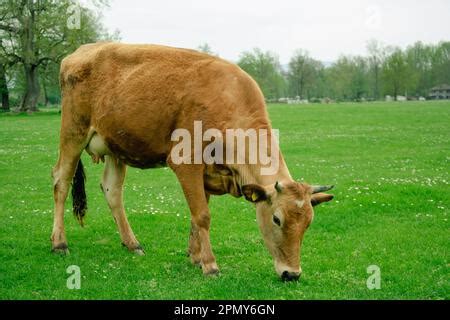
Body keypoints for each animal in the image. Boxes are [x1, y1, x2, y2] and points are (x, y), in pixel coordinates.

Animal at [52, 42, 334, 280]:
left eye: (308, 223)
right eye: (276, 219)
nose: (292, 274)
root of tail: (80, 51)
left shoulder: (207, 174)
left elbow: (195, 216)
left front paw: (195, 256)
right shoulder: (185, 162)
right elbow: (202, 215)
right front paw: (210, 265)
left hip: (116, 146)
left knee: (112, 190)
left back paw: (132, 243)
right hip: (73, 132)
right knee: (61, 181)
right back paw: (59, 243)